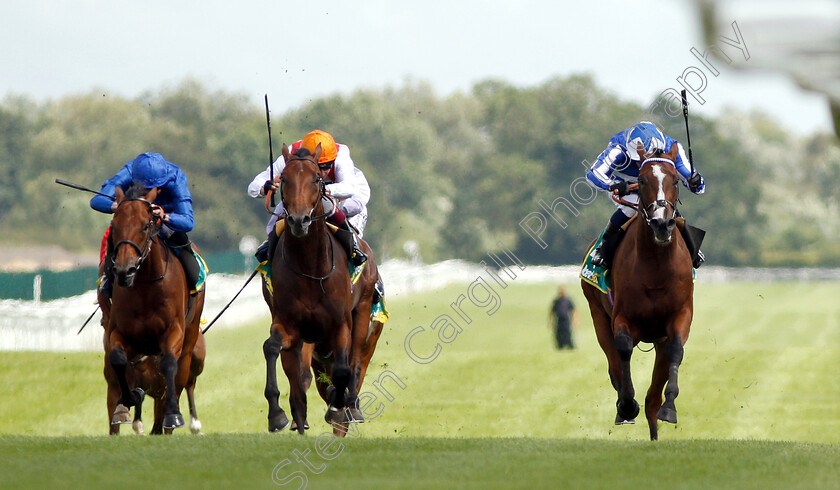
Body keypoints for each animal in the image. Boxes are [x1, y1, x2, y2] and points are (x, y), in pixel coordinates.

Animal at [101, 184, 205, 432]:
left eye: (145, 225)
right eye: (115, 225)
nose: (125, 270)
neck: (146, 287)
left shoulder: (174, 330)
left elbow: (168, 364)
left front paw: (173, 414)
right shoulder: (119, 331)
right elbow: (118, 358)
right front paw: (128, 401)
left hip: (190, 340)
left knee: (180, 377)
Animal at [262, 144, 380, 434]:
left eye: (316, 178)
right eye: (283, 179)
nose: (298, 220)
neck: (310, 269)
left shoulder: (340, 324)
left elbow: (343, 370)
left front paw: (339, 407)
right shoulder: (288, 323)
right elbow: (272, 348)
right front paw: (278, 414)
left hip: (363, 311)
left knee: (355, 363)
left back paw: (350, 406)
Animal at [584, 152, 696, 440]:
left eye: (675, 180)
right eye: (642, 180)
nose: (661, 223)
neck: (656, 265)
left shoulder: (679, 317)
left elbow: (676, 350)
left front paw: (670, 408)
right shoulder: (621, 317)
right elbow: (622, 349)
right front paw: (626, 405)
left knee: (652, 399)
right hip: (597, 314)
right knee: (614, 364)